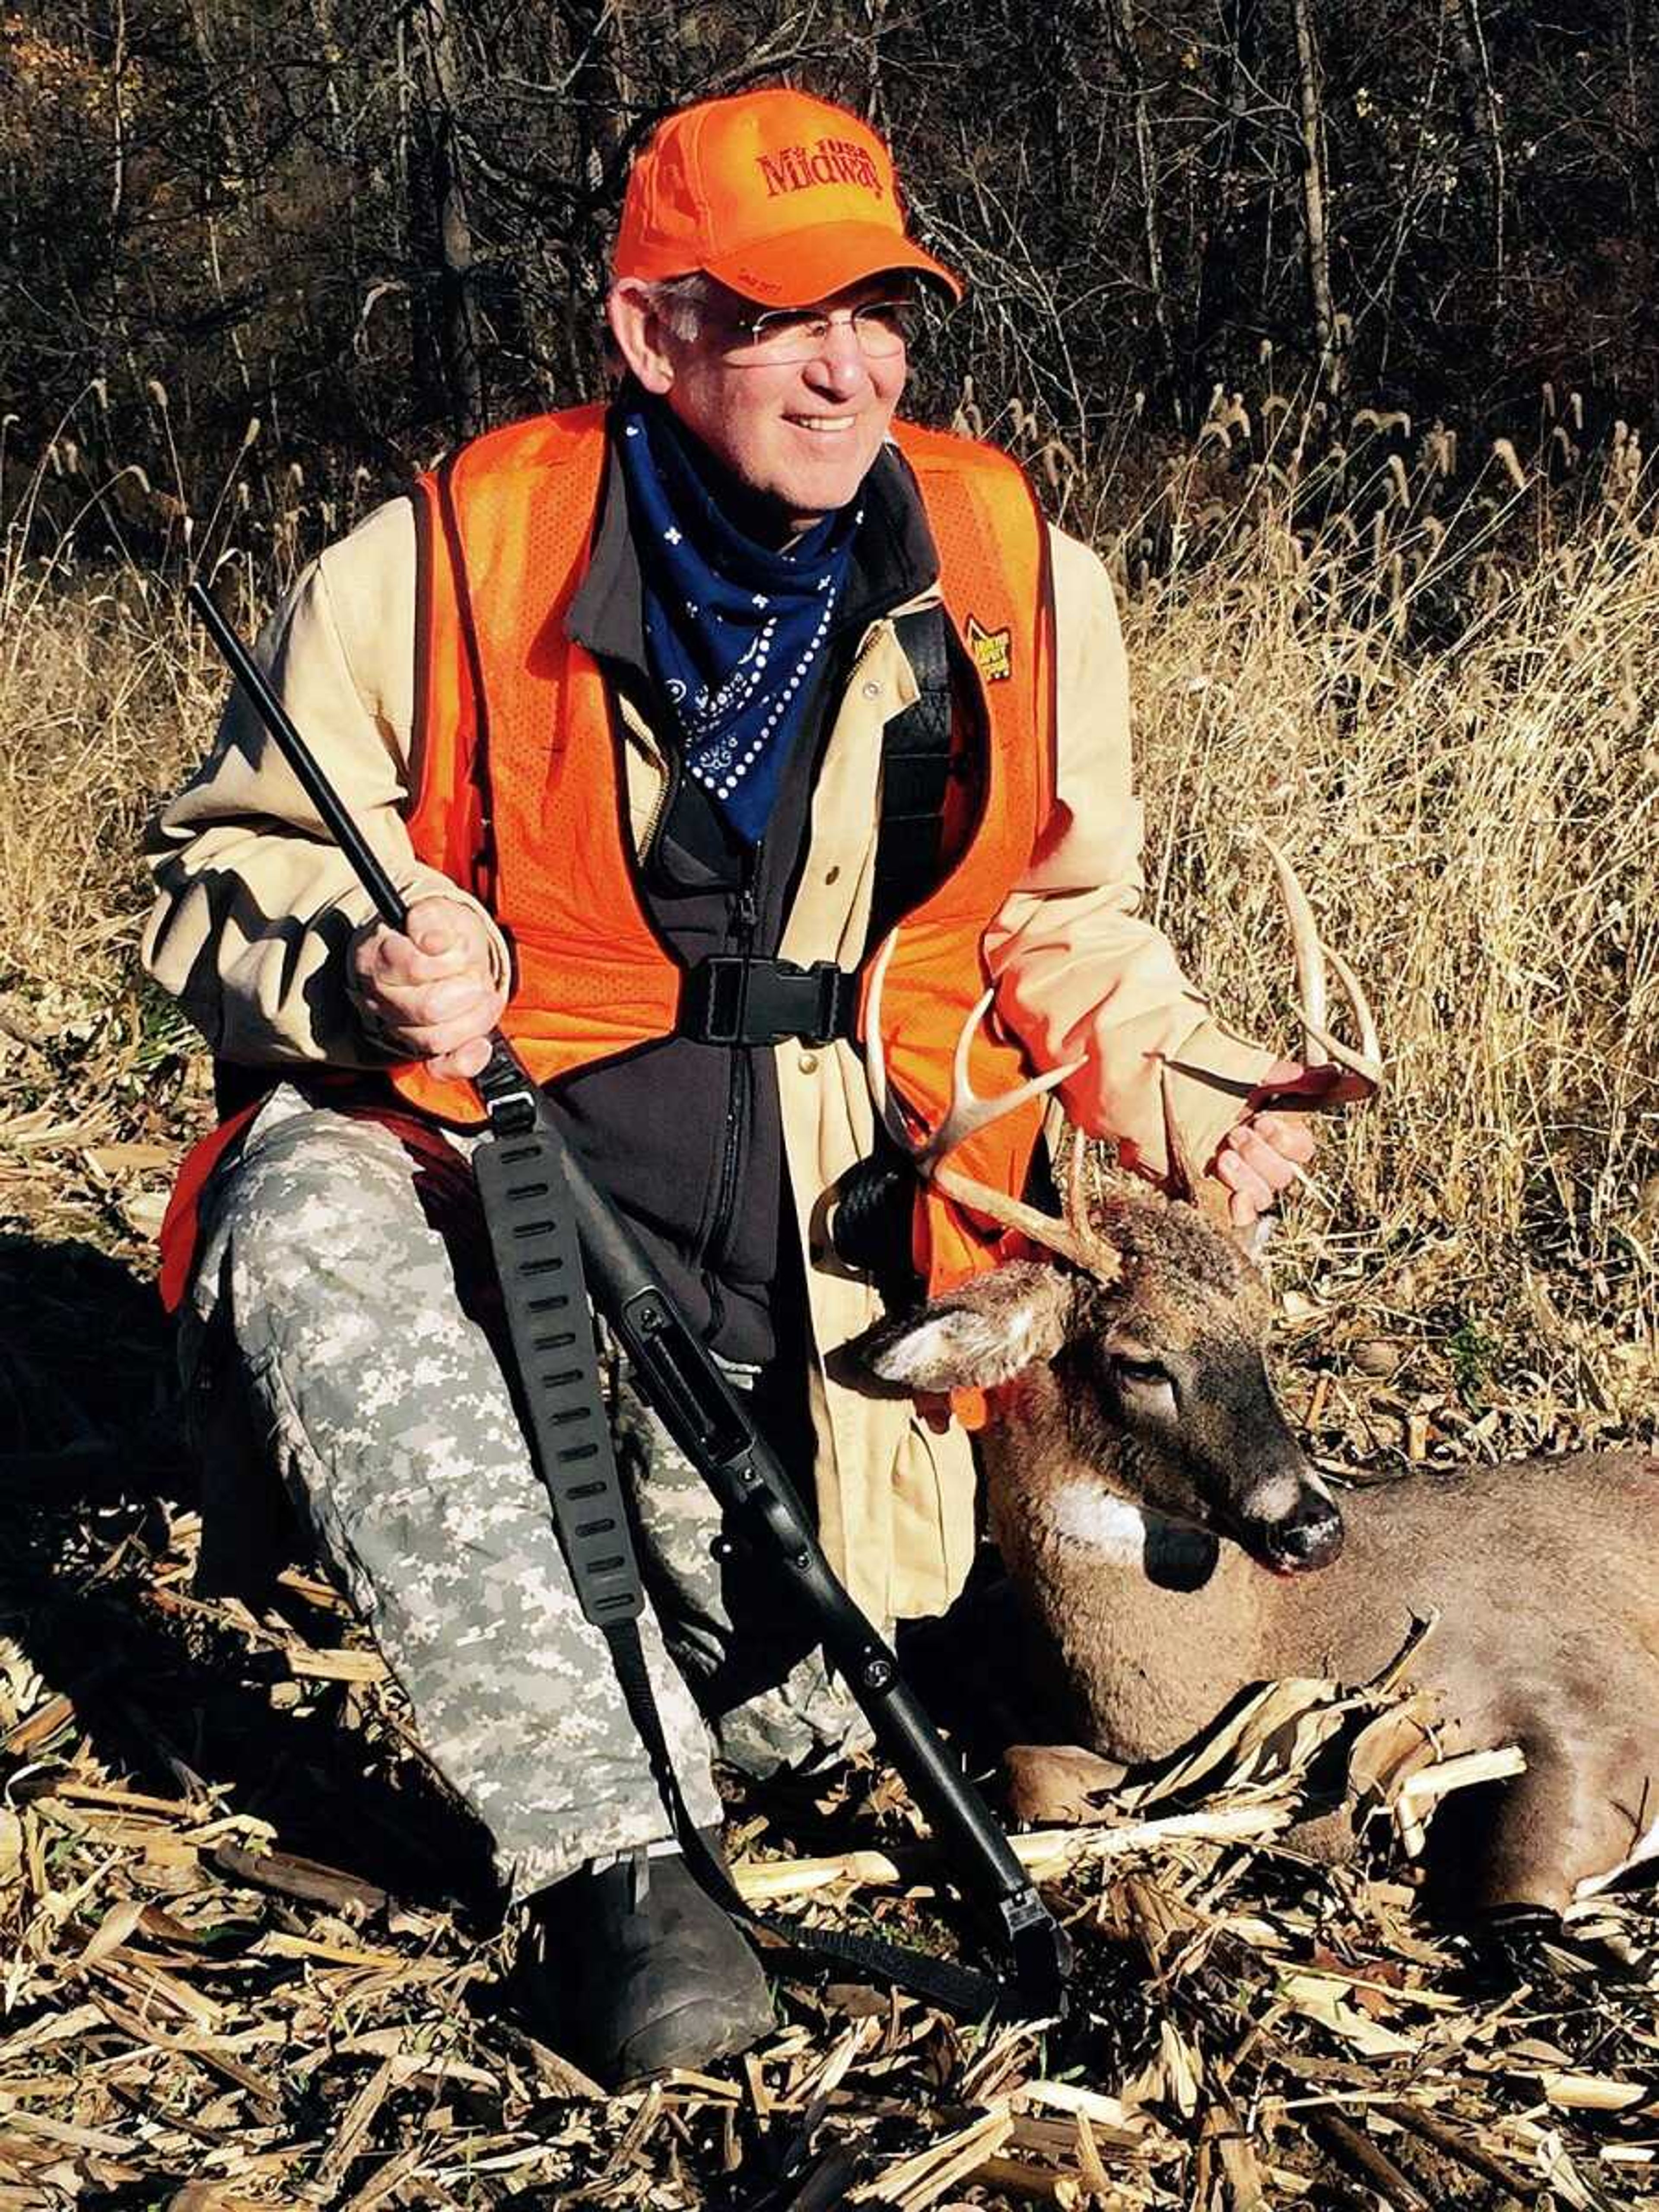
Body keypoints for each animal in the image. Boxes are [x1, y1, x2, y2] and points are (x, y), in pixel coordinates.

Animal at [858, 854, 1659, 1929]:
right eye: (1138, 1359)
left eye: (1264, 1324)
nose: (1312, 1527)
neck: (1243, 1657)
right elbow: (1031, 1768)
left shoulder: (1583, 1681)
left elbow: (1511, 1884)